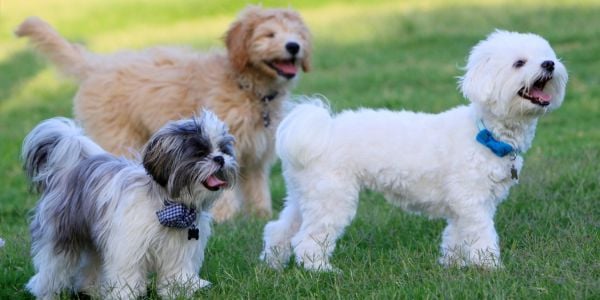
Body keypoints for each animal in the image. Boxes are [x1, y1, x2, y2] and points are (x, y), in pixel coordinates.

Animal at [16, 6, 312, 223]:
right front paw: (224, 217)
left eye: (296, 33)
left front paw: (262, 216)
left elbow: (257, 187)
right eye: (269, 35)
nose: (293, 46)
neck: (247, 87)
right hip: (117, 135)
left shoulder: (257, 152)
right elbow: (221, 182)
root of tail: (97, 65)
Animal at [23, 110, 239, 300]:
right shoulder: (128, 247)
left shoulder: (179, 251)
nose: (220, 158)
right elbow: (126, 276)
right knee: (53, 268)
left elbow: (175, 275)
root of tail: (69, 169)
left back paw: (93, 291)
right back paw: (47, 292)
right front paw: (123, 295)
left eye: (224, 150)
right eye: (200, 152)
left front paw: (179, 293)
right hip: (62, 234)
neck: (169, 206)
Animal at [262, 29, 568, 270]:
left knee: (279, 229)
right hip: (332, 197)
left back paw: (273, 265)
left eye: (547, 55)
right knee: (307, 239)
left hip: (305, 195)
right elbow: (482, 236)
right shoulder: (472, 201)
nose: (550, 64)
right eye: (519, 63)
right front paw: (489, 267)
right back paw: (320, 270)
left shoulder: (463, 207)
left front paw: (453, 265)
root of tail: (320, 129)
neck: (485, 132)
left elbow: (456, 236)